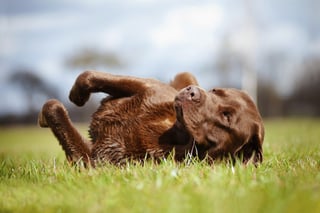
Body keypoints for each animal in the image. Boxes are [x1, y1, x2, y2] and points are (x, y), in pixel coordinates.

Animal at [38, 71, 262, 166]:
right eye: (216, 90)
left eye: (227, 116)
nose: (192, 92)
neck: (174, 132)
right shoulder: (148, 86)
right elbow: (88, 76)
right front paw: (76, 96)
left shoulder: (99, 162)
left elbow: (53, 109)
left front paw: (44, 115)